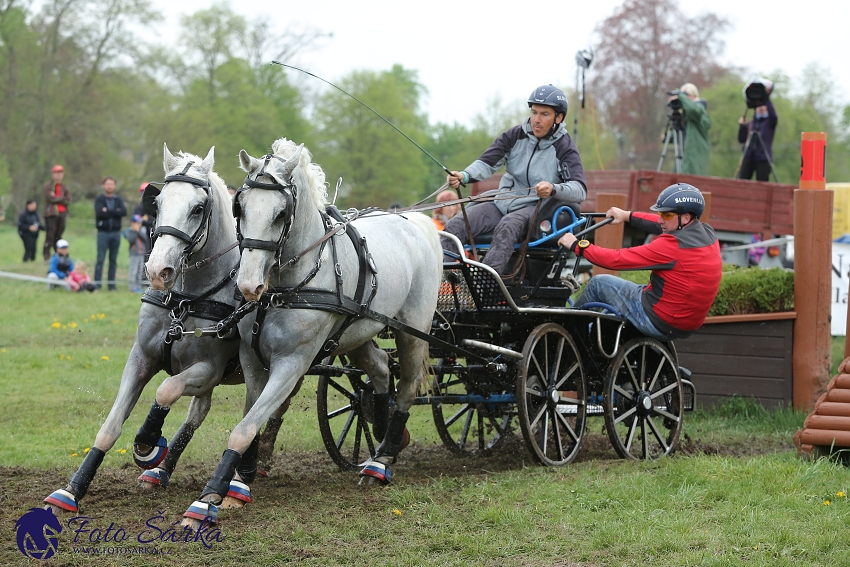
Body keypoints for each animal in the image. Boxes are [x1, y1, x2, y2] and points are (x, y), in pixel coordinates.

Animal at [44, 145, 292, 516]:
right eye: (158, 204)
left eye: (198, 208)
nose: (157, 270)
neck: (185, 299)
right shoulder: (140, 359)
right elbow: (110, 427)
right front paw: (73, 490)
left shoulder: (207, 369)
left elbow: (166, 390)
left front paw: (147, 443)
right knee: (201, 411)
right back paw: (163, 470)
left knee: (264, 409)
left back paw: (242, 474)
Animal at [180, 138, 440, 528]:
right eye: (240, 207)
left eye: (281, 214)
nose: (249, 286)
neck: (283, 287)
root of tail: (417, 222)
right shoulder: (253, 359)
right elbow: (251, 417)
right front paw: (240, 480)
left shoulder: (292, 363)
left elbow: (245, 426)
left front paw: (209, 498)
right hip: (358, 332)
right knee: (380, 369)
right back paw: (379, 439)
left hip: (413, 331)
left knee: (407, 386)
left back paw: (381, 461)